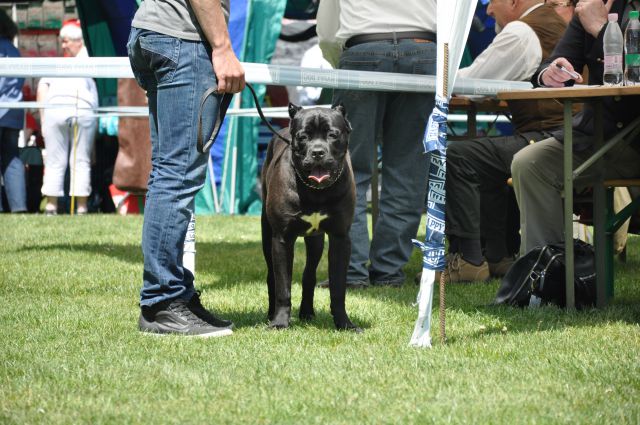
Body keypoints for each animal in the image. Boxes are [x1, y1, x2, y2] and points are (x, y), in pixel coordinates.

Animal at [260, 102, 360, 332]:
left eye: (333, 134)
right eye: (303, 136)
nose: (317, 152)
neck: (316, 191)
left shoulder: (340, 238)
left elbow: (338, 287)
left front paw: (344, 323)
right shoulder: (282, 239)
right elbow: (283, 287)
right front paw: (280, 322)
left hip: (315, 241)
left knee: (308, 274)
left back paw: (307, 312)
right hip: (266, 234)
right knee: (272, 277)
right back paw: (271, 315)